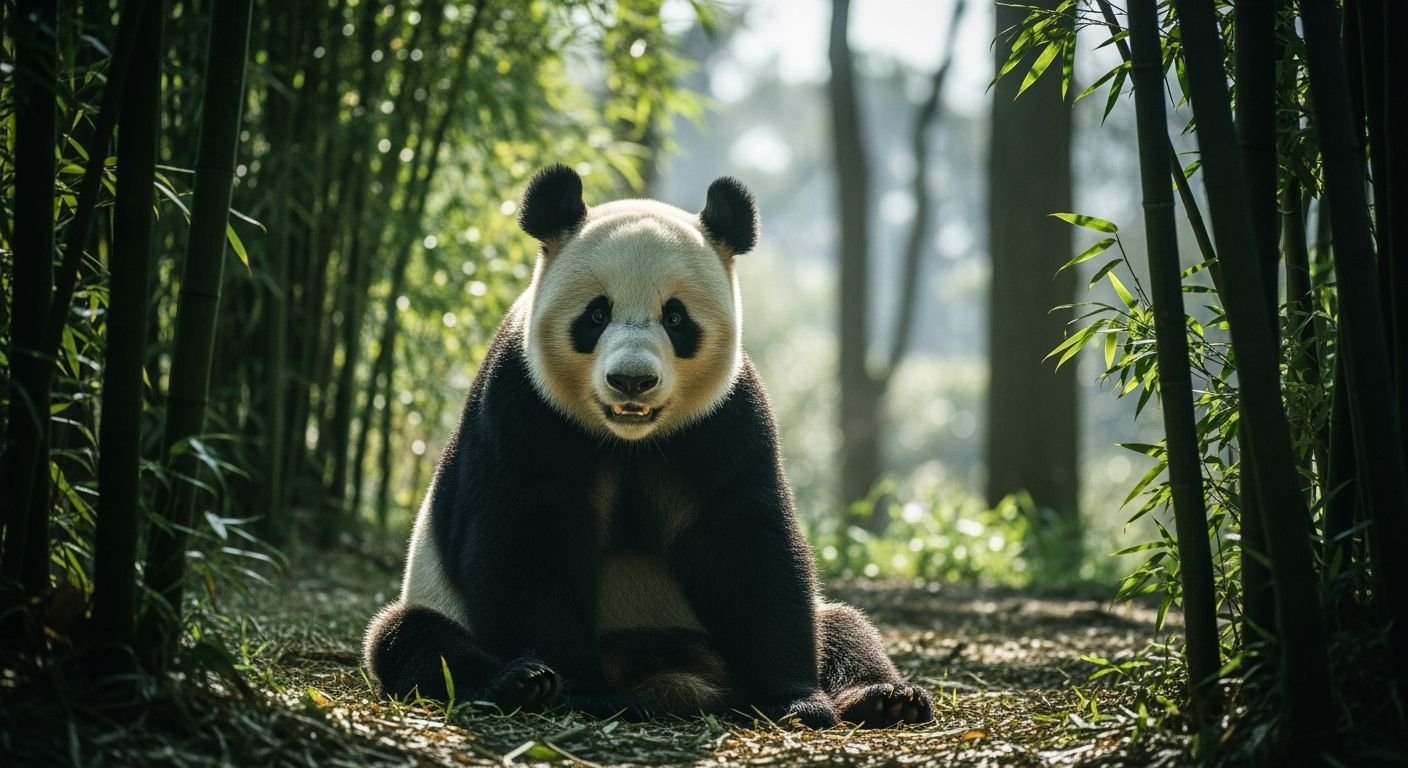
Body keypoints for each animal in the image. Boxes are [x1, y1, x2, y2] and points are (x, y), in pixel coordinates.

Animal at [363, 165, 933, 728]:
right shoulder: (520, 405)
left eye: (675, 318)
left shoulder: (726, 419)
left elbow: (750, 539)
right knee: (410, 638)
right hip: (434, 600)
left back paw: (884, 696)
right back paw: (521, 682)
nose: (631, 381)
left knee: (843, 625)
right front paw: (582, 690)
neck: (630, 441)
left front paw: (793, 699)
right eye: (596, 315)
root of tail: (670, 675)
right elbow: (522, 539)